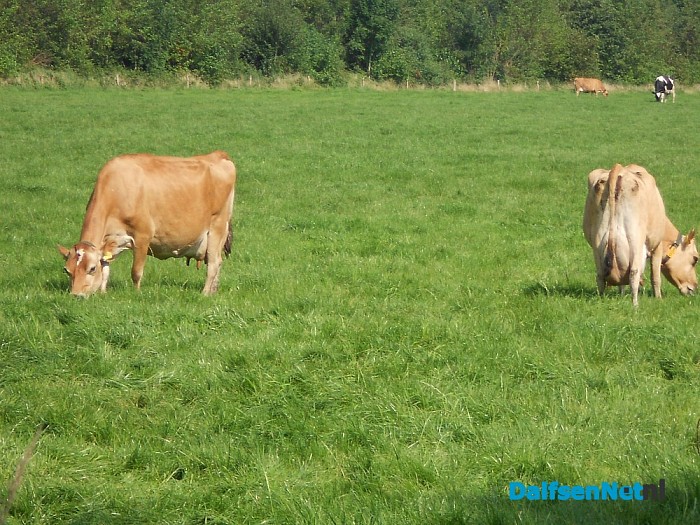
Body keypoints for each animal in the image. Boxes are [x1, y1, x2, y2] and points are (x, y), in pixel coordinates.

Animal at [58, 151, 237, 297]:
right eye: (67, 270)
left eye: (91, 268)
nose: (76, 295)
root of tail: (218, 155)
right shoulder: (109, 241)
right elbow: (106, 269)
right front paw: (103, 292)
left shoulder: (143, 235)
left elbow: (136, 271)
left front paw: (136, 293)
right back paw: (213, 292)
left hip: (217, 226)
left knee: (214, 262)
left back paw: (205, 293)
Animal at [583, 163, 697, 306]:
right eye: (695, 259)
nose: (695, 287)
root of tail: (619, 169)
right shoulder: (657, 245)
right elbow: (655, 276)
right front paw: (658, 298)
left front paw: (621, 295)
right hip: (635, 238)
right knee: (634, 272)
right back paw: (635, 305)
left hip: (597, 241)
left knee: (600, 276)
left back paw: (601, 300)